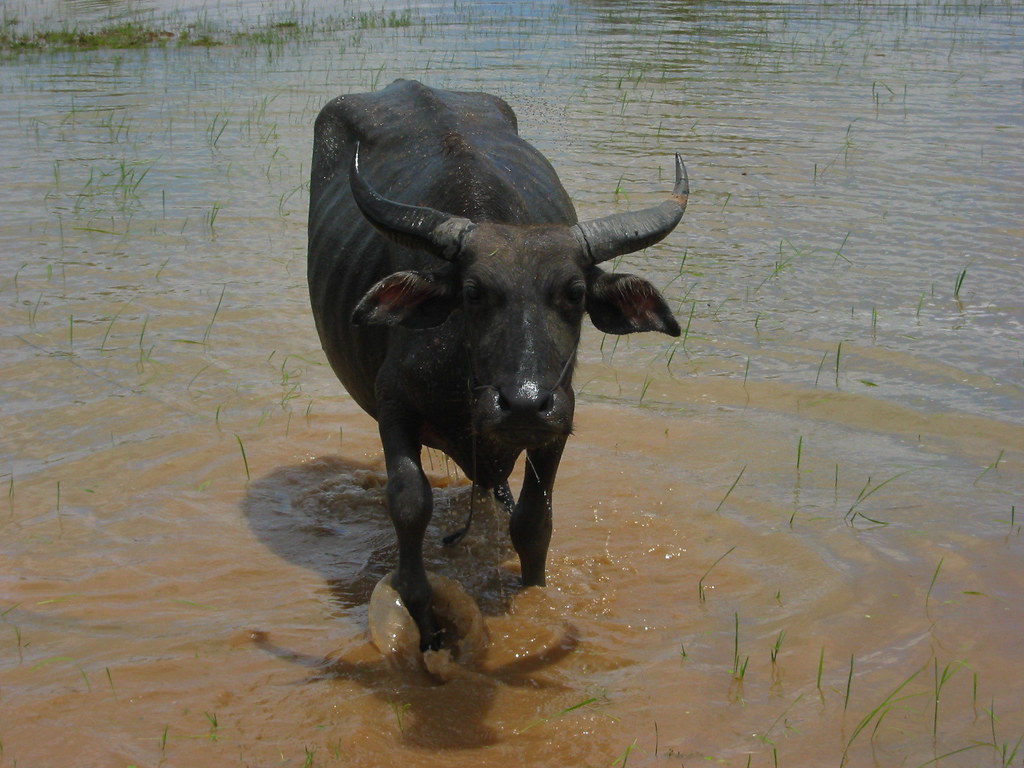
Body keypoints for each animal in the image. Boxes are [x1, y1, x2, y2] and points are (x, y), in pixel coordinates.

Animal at [307, 79, 688, 649]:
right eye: (473, 291)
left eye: (574, 293)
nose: (523, 403)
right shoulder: (393, 407)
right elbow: (409, 501)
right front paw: (426, 624)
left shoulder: (557, 423)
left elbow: (534, 522)